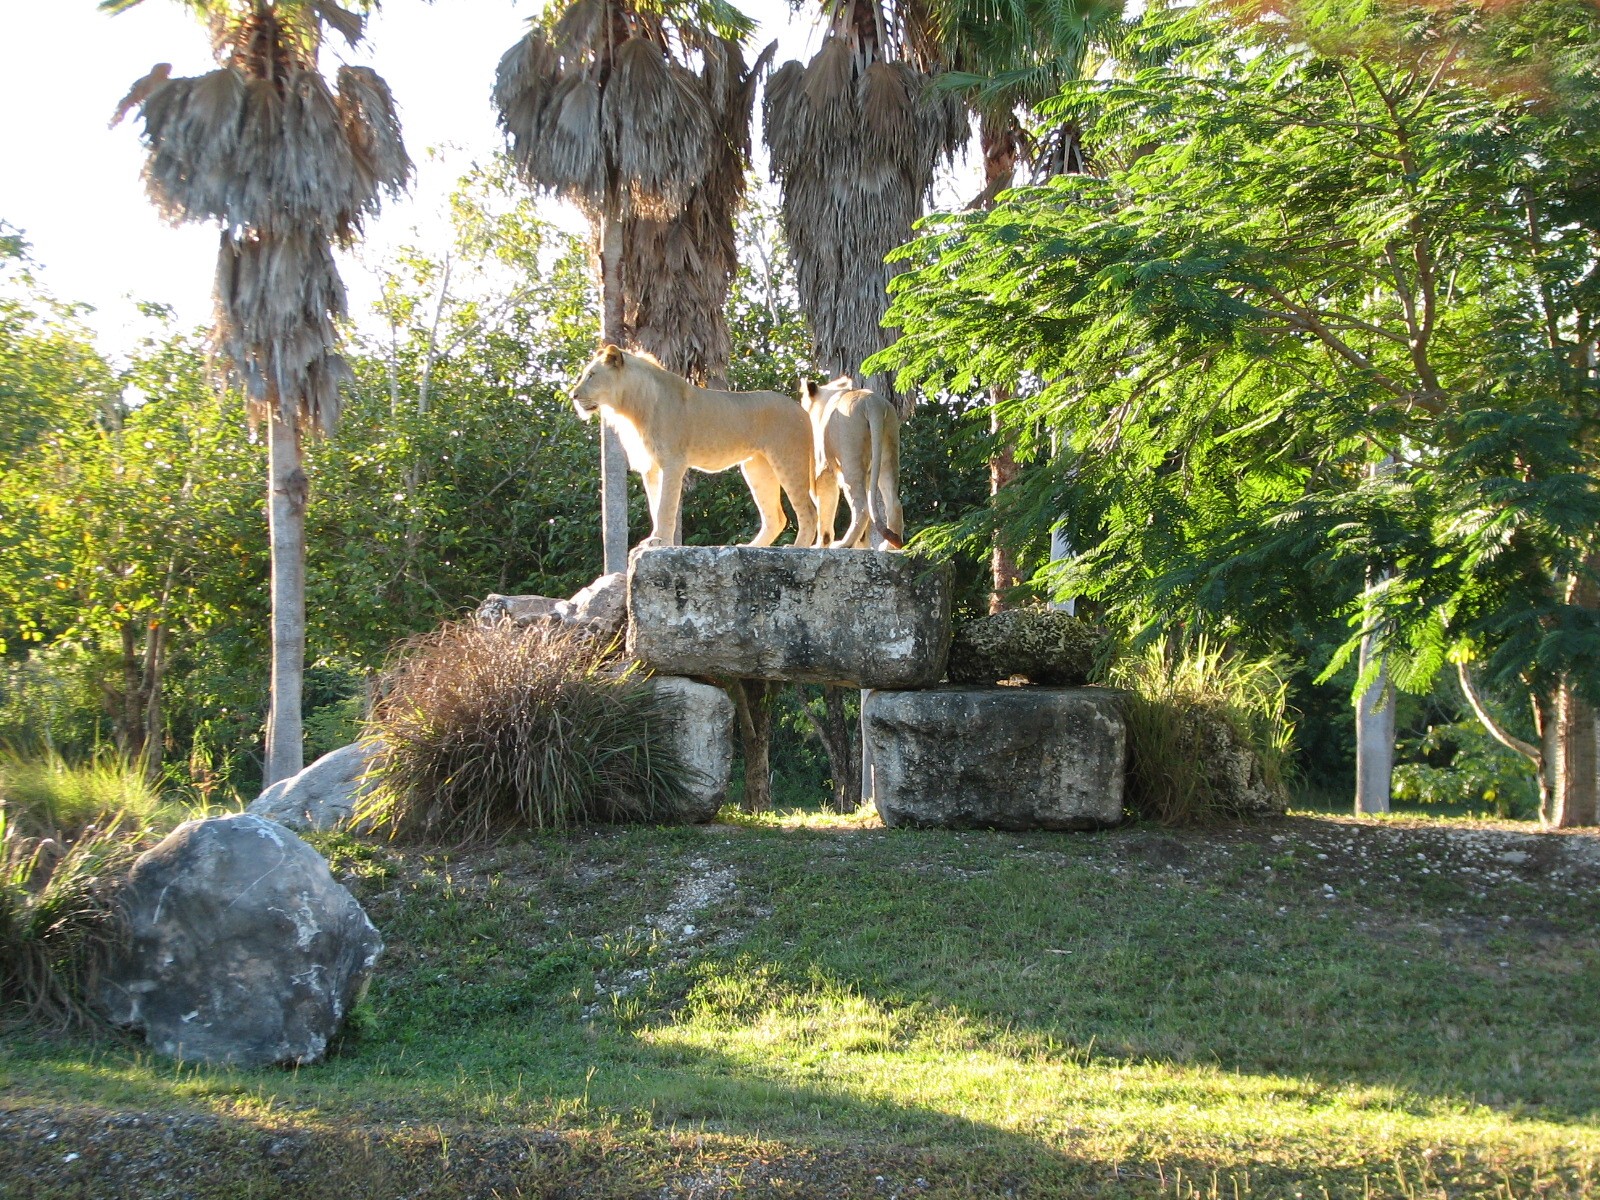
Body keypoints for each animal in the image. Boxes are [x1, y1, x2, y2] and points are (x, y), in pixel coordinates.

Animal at [569, 345, 818, 549]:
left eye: (591, 375)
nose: (573, 395)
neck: (630, 407)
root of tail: (801, 409)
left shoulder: (673, 462)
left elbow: (665, 507)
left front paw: (659, 541)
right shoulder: (651, 467)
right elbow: (655, 505)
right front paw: (657, 540)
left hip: (788, 459)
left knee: (808, 510)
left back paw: (797, 548)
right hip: (757, 468)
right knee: (776, 517)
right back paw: (752, 547)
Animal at [800, 375, 904, 550]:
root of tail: (872, 402)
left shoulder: (824, 468)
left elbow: (825, 508)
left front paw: (820, 545)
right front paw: (863, 546)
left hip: (850, 458)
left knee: (862, 507)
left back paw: (844, 544)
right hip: (888, 450)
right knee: (893, 503)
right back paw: (888, 547)